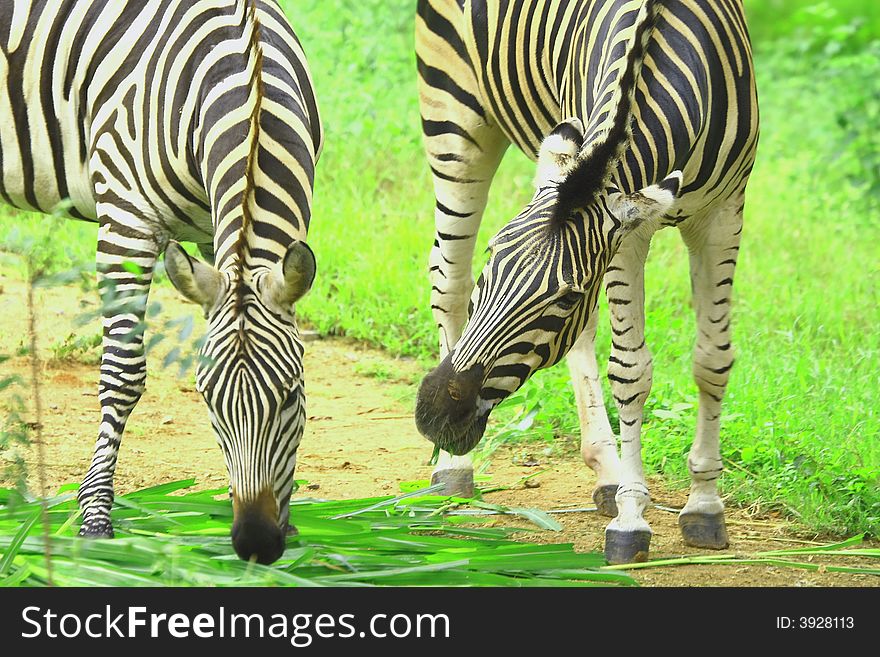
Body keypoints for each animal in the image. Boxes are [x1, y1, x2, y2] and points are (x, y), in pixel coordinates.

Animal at [0, 1, 324, 564]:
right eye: (209, 401)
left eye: (290, 397)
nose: (256, 544)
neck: (250, 72)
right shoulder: (125, 219)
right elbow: (123, 374)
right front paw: (95, 516)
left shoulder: (218, 240)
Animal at [412, 0, 756, 564]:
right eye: (492, 262)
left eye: (565, 297)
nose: (435, 413)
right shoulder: (627, 239)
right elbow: (632, 373)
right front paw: (633, 518)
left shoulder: (723, 213)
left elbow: (712, 362)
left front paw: (704, 505)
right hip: (453, 116)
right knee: (447, 277)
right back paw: (453, 468)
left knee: (585, 332)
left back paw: (606, 471)